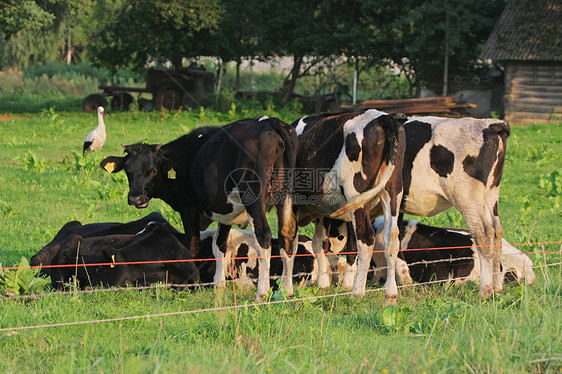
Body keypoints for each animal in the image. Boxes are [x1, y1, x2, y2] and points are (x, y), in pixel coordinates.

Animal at [290, 109, 404, 302]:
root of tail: (383, 117)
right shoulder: (323, 210)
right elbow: (319, 242)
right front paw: (324, 283)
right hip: (392, 191)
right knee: (392, 238)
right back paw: (390, 294)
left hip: (356, 194)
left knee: (366, 238)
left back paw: (357, 292)